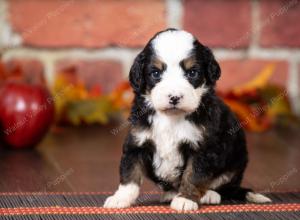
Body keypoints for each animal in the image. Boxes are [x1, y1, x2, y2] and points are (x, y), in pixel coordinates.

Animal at [103, 28, 272, 211]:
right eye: (155, 73)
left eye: (192, 73)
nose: (174, 97)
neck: (171, 118)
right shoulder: (137, 142)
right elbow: (130, 174)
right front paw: (120, 198)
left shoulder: (202, 147)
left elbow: (193, 175)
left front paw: (186, 199)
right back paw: (170, 194)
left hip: (235, 162)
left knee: (224, 186)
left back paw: (209, 195)